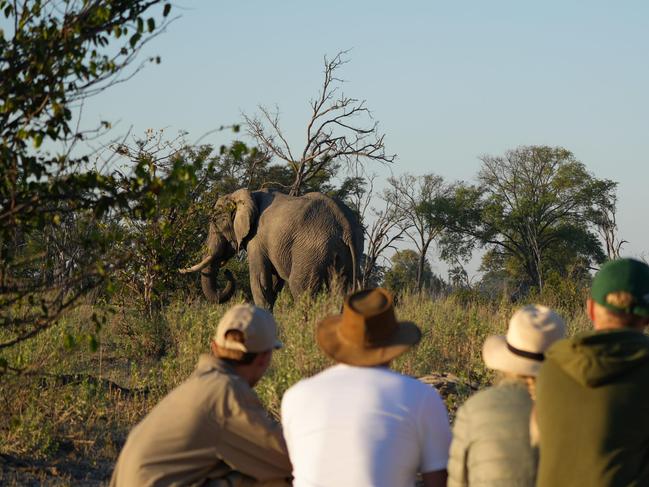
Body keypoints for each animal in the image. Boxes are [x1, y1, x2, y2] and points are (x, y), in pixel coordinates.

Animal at [180, 189, 362, 310]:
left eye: (214, 221)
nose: (227, 272)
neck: (248, 195)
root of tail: (345, 225)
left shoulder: (256, 239)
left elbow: (260, 282)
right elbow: (273, 284)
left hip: (312, 249)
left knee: (301, 288)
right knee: (340, 292)